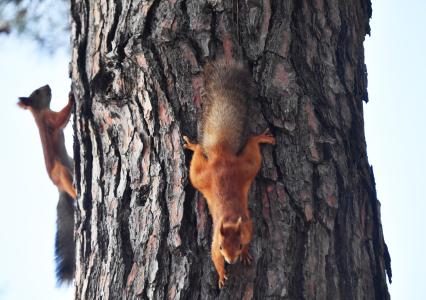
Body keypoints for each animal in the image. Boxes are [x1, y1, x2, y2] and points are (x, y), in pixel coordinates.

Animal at [18, 85, 75, 284]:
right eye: (36, 92)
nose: (48, 86)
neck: (40, 114)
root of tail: (60, 188)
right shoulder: (51, 120)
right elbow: (62, 118)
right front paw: (71, 98)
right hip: (61, 172)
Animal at [184, 59, 276, 288]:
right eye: (221, 248)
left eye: (240, 244)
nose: (231, 260)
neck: (231, 218)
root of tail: (221, 155)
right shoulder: (216, 237)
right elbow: (213, 257)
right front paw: (220, 274)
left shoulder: (248, 227)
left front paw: (245, 255)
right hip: (201, 178)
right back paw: (193, 145)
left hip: (246, 168)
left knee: (251, 144)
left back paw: (261, 138)